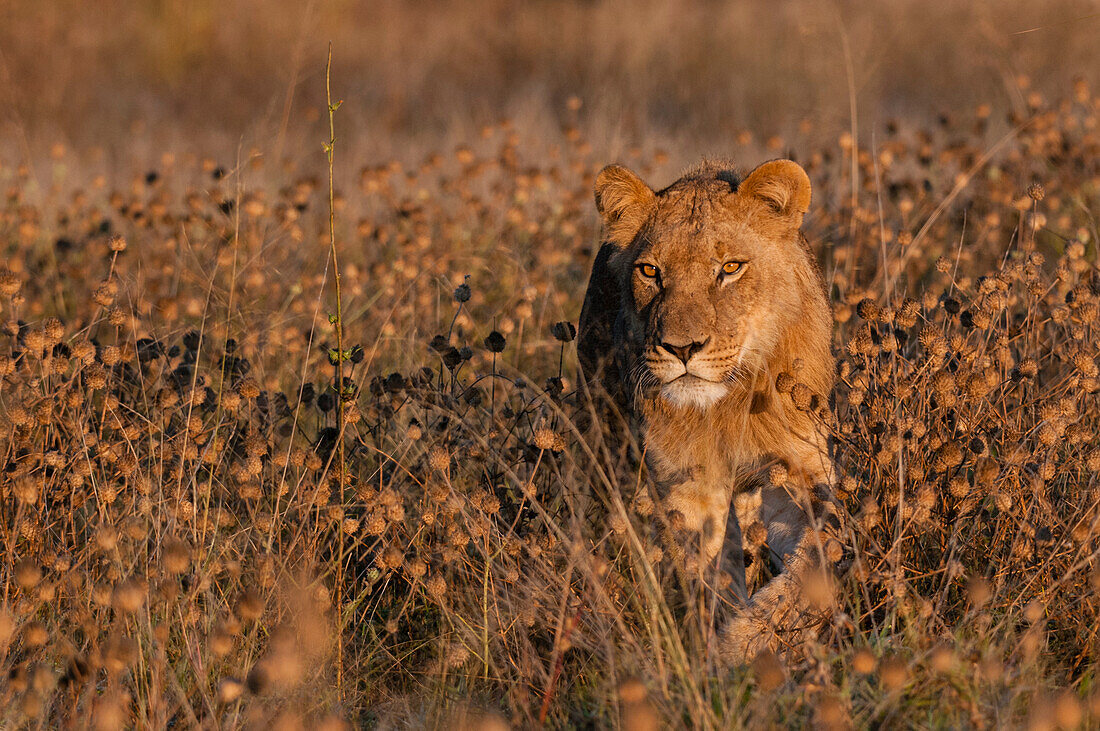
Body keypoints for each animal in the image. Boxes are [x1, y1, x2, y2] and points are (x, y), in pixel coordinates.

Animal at [580, 158, 836, 659]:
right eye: (650, 271)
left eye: (731, 268)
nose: (682, 348)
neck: (728, 406)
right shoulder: (687, 484)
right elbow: (708, 573)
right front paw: (723, 649)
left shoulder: (800, 470)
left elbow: (817, 561)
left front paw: (750, 640)